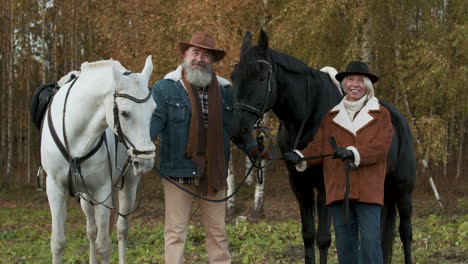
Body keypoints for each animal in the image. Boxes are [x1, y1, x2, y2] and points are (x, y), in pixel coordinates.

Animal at [39, 55, 154, 262]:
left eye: (153, 110)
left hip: (129, 183)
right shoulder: (55, 188)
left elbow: (104, 246)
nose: (146, 162)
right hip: (86, 194)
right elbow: (58, 243)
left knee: (121, 230)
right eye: (124, 113)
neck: (75, 135)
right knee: (91, 231)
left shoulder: (102, 189)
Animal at [229, 31, 414, 264]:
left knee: (405, 233)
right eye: (234, 77)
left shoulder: (326, 186)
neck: (308, 119)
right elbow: (308, 235)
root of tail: (399, 120)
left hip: (403, 188)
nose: (238, 130)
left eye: (261, 77)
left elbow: (323, 239)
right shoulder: (300, 184)